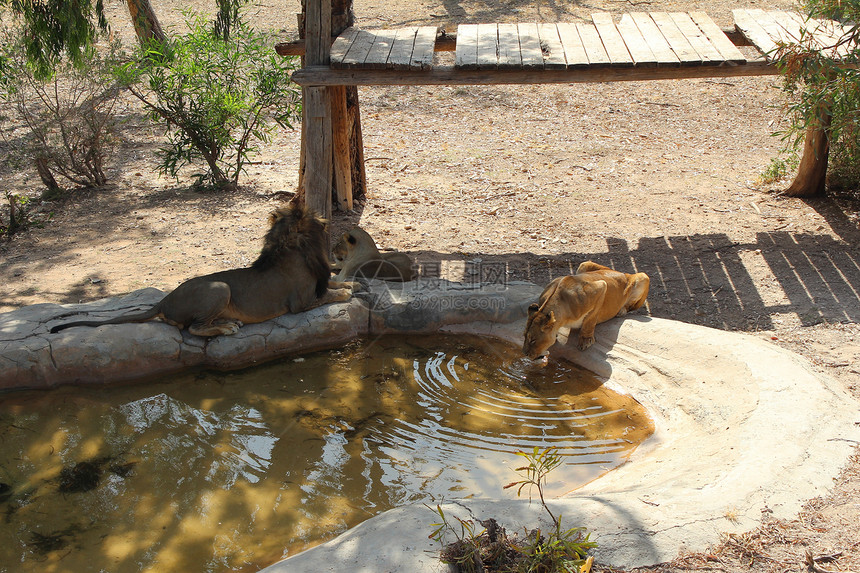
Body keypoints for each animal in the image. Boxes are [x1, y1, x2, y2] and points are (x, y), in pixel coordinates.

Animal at [48, 203, 358, 336]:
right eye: (317, 218)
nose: (327, 219)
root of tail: (164, 300)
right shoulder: (299, 303)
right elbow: (328, 296)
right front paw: (346, 292)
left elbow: (333, 284)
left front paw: (349, 284)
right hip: (219, 288)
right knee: (194, 329)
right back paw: (227, 328)